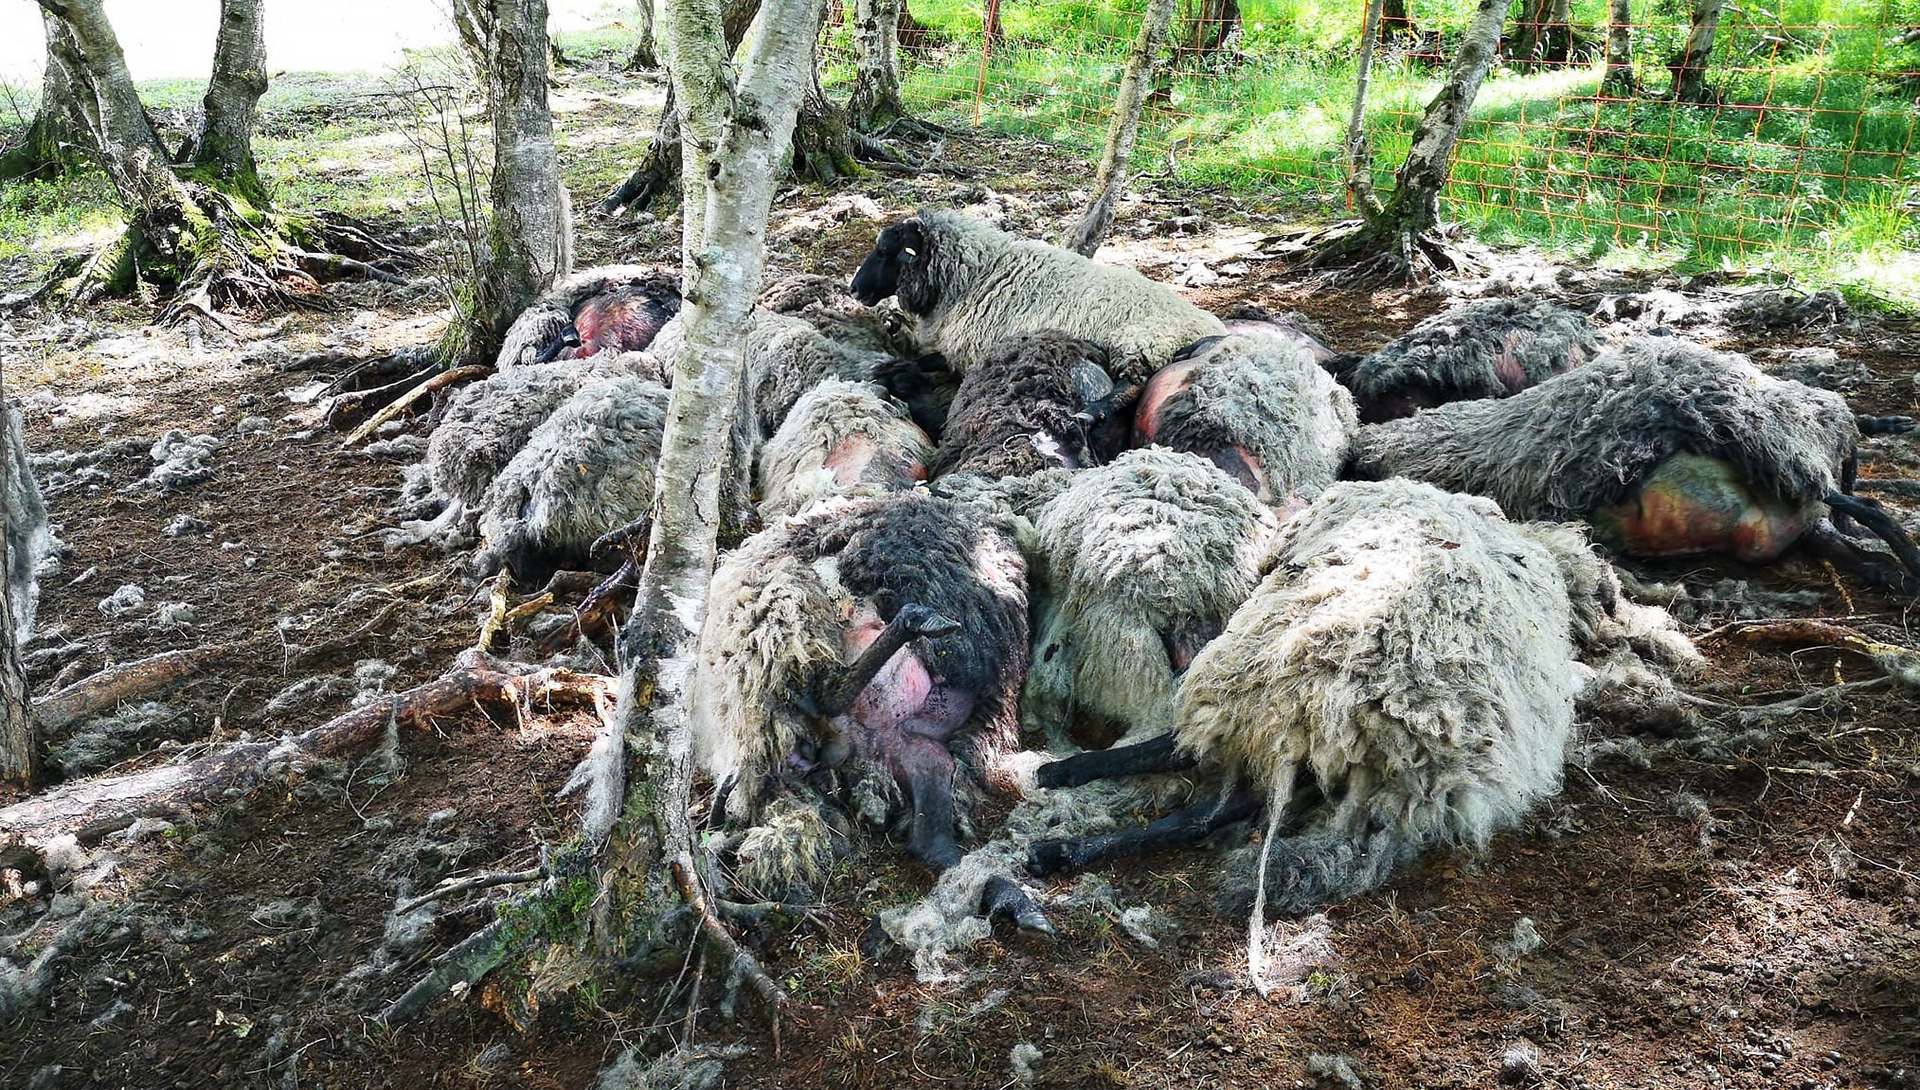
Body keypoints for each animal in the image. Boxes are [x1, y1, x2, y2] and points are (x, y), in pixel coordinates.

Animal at [849, 208, 1226, 385]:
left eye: (886, 250)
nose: (854, 289)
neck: (976, 277)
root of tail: (1211, 328)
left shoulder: (969, 352)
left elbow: (927, 362)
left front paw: (890, 369)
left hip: (1139, 345)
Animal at [1028, 480, 1619, 987]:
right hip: (1277, 716)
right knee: (1209, 802)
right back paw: (1066, 827)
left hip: (1251, 681)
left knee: (1190, 765)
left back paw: (1062, 799)